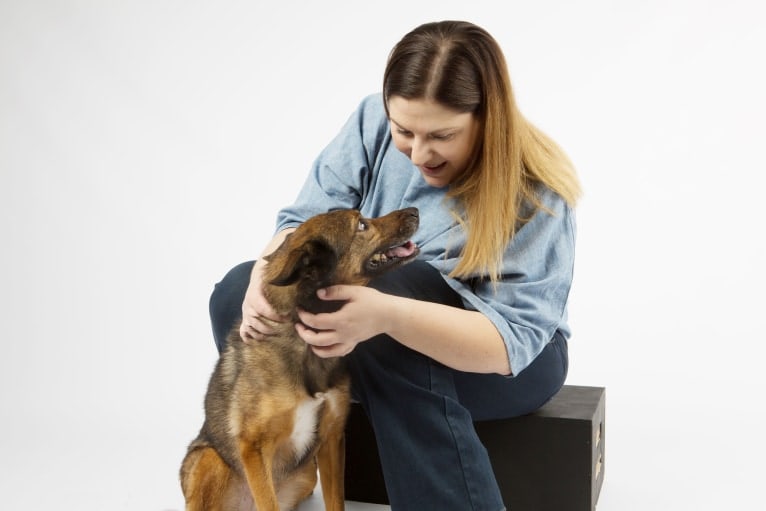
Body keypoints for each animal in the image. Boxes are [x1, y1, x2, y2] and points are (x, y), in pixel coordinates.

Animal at [180, 208, 420, 511]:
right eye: (361, 225)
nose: (415, 211)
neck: (304, 346)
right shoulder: (253, 448)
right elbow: (267, 501)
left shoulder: (332, 438)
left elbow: (335, 501)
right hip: (209, 460)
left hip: (306, 474)